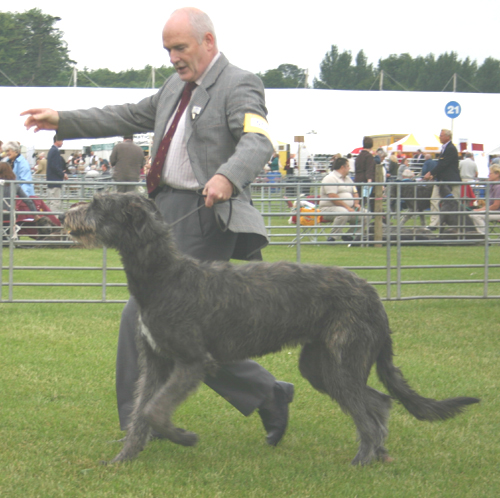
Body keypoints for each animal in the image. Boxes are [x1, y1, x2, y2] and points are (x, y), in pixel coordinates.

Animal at [64, 193, 478, 464]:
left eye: (99, 204)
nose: (68, 213)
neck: (165, 275)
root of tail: (373, 295)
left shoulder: (193, 361)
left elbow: (154, 411)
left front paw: (183, 437)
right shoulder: (157, 361)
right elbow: (141, 410)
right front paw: (125, 457)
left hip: (344, 358)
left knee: (368, 410)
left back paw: (363, 459)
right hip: (321, 364)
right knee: (378, 401)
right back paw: (379, 452)